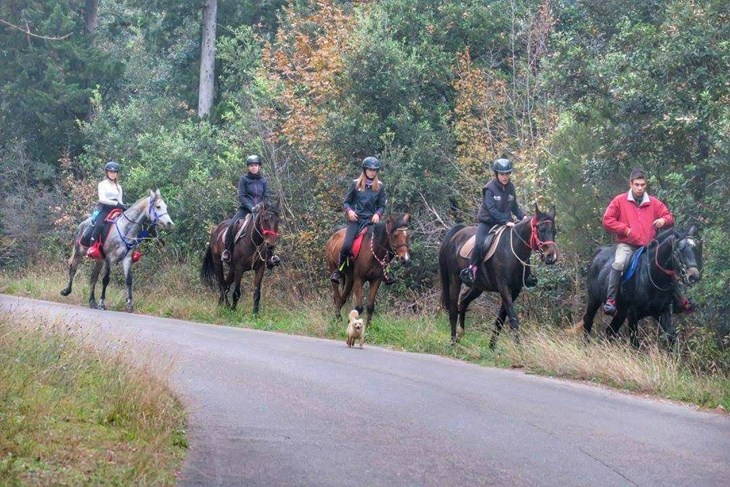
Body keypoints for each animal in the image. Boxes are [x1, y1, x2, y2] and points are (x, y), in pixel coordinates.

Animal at [438, 204, 556, 348]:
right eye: (541, 229)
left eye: (554, 231)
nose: (551, 257)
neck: (512, 249)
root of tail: (457, 234)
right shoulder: (504, 288)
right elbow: (513, 319)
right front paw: (519, 349)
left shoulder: (515, 290)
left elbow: (500, 319)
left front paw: (492, 346)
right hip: (455, 279)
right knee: (454, 309)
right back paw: (453, 341)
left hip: (478, 286)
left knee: (464, 302)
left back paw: (460, 333)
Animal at [576, 225, 704, 346]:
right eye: (679, 250)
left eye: (697, 249)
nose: (694, 276)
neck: (652, 276)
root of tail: (599, 252)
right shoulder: (633, 315)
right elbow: (635, 343)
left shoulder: (662, 311)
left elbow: (671, 336)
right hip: (594, 299)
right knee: (588, 320)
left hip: (620, 313)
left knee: (610, 331)